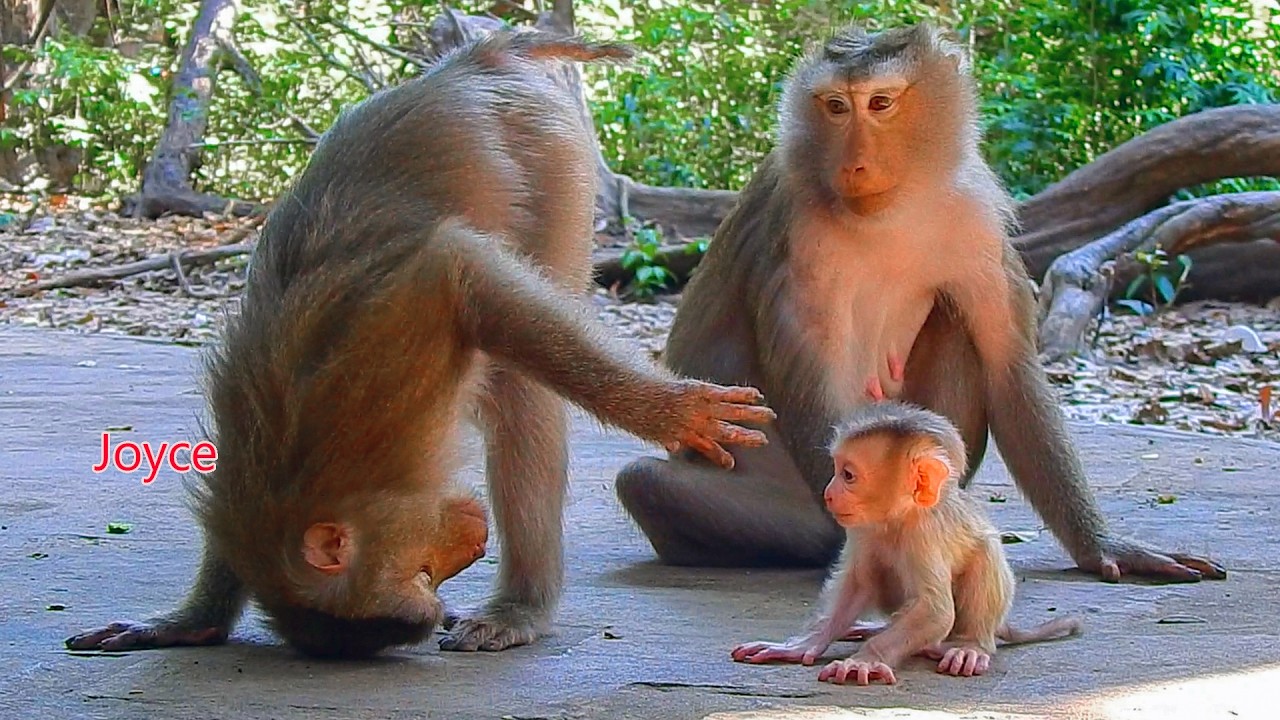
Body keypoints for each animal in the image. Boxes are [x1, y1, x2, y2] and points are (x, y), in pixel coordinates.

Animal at [64, 29, 777, 660]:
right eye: (426, 575)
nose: (474, 543)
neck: (314, 463)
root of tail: (477, 60)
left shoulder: (394, 337)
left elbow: (463, 275)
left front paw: (675, 412)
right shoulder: (248, 457)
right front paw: (193, 621)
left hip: (548, 152)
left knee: (522, 386)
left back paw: (520, 609)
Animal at [614, 22, 1225, 584]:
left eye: (880, 103)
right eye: (836, 106)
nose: (854, 163)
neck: (892, 210)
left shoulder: (976, 218)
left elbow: (1007, 363)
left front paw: (1103, 547)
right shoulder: (795, 231)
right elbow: (811, 374)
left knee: (956, 328)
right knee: (646, 482)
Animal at [732, 400, 1083, 685]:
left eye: (848, 475)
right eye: (837, 470)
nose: (829, 493)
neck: (896, 519)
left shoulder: (923, 535)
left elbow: (935, 611)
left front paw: (865, 660)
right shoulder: (863, 528)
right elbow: (858, 585)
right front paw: (802, 644)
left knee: (983, 556)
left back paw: (969, 644)